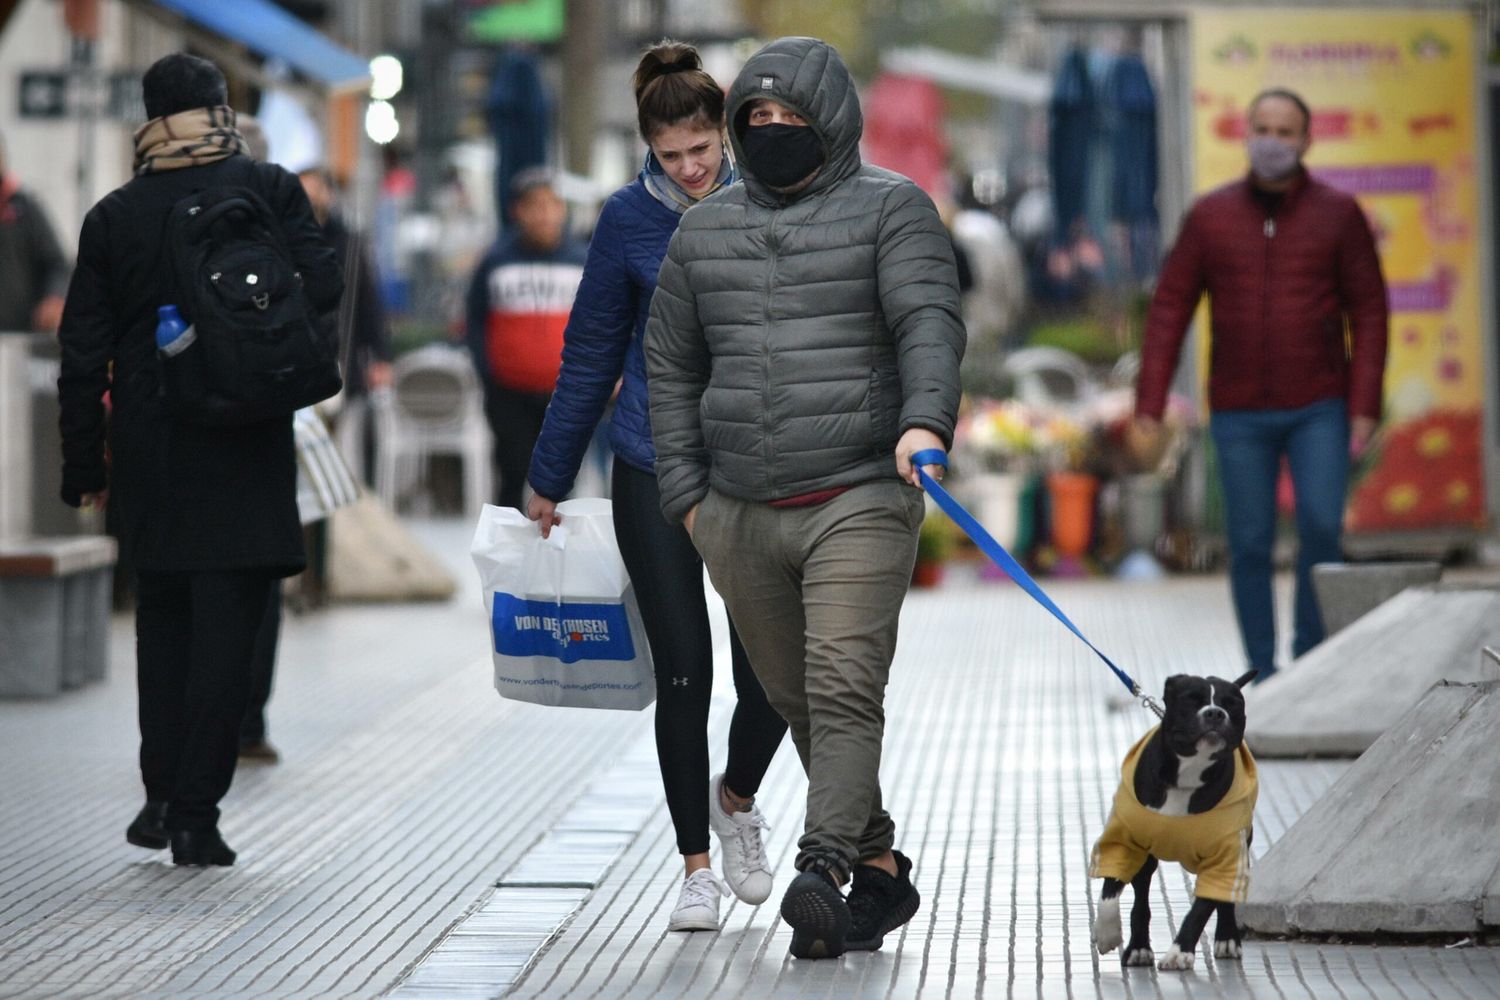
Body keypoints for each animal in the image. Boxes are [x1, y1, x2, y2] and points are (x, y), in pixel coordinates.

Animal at [1092, 671, 1254, 971]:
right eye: (1191, 699)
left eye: (1232, 703)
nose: (1215, 713)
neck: (1187, 775)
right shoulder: (1124, 841)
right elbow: (1110, 890)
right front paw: (1107, 933)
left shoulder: (1224, 855)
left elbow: (1202, 907)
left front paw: (1179, 953)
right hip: (1146, 860)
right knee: (1141, 901)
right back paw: (1138, 948)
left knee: (1224, 896)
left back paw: (1227, 939)